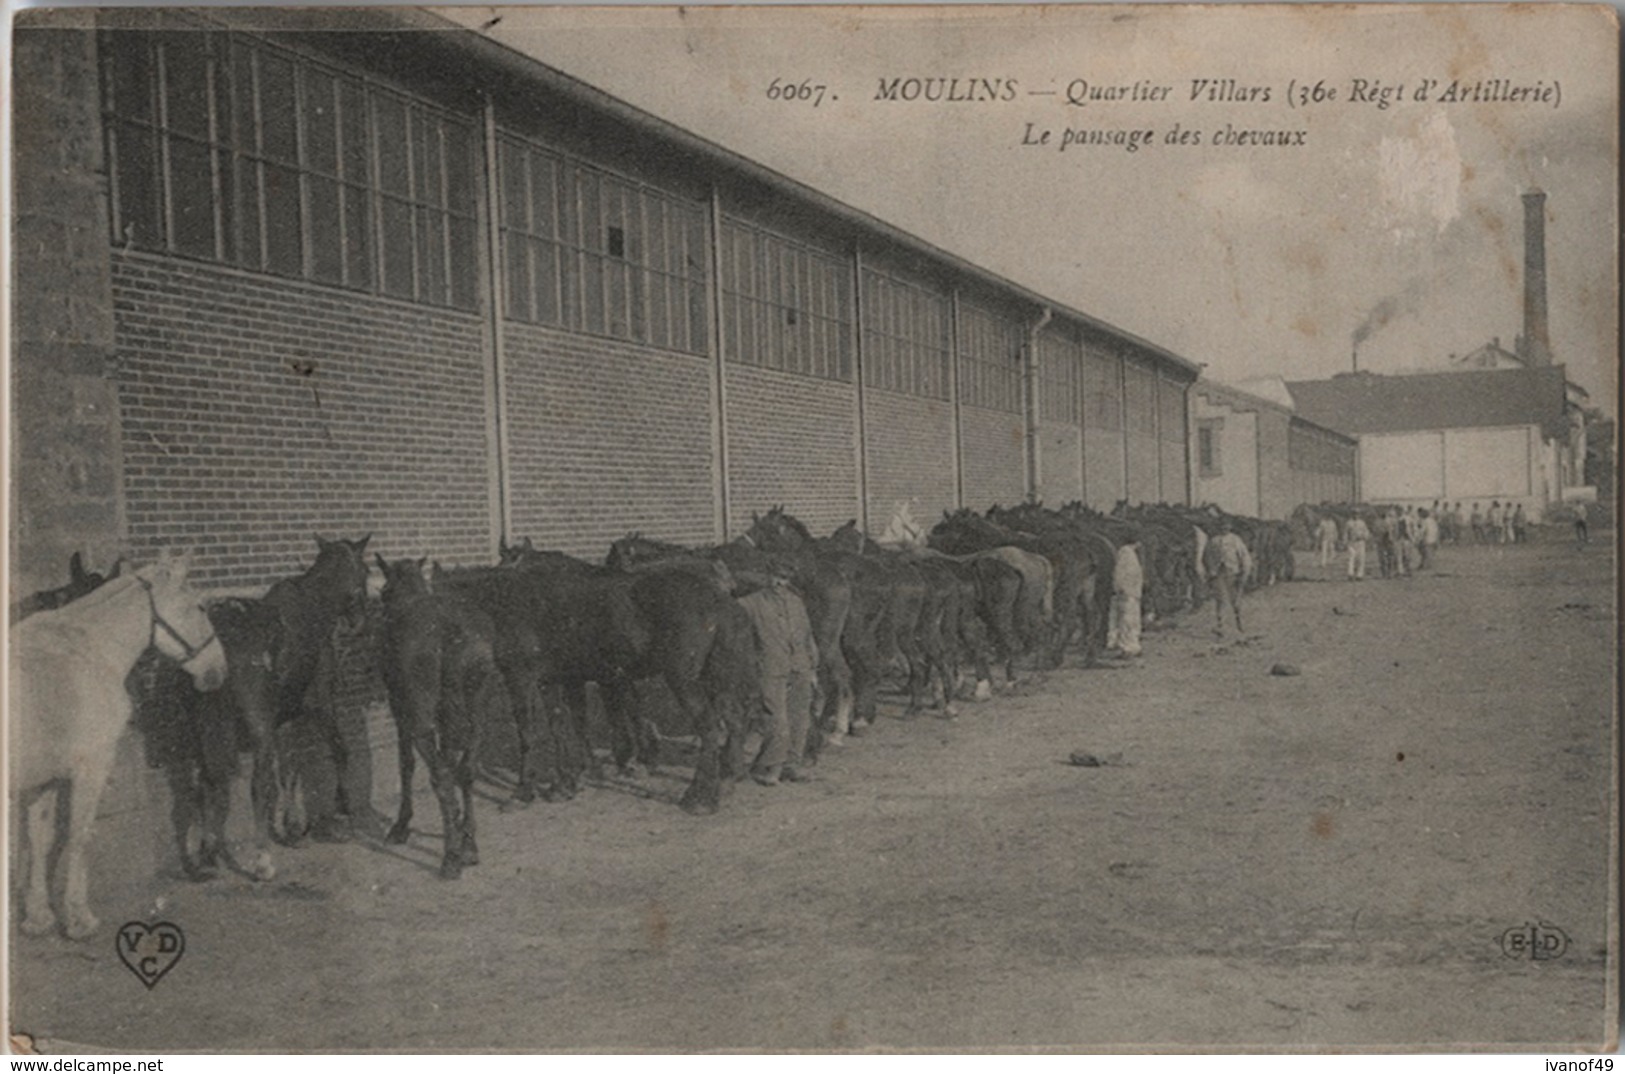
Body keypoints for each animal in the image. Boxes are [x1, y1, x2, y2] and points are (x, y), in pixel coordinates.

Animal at [12, 555, 227, 935]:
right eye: (200, 607)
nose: (218, 669)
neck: (87, 651)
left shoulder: (44, 778)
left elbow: (39, 839)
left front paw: (38, 917)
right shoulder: (92, 766)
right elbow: (80, 835)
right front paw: (79, 918)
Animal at [373, 555, 500, 877]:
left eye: (383, 592)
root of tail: (450, 631)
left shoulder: (400, 707)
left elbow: (406, 763)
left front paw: (401, 825)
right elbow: (454, 763)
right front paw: (457, 823)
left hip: (420, 712)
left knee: (441, 773)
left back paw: (451, 856)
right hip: (477, 708)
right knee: (467, 768)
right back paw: (468, 844)